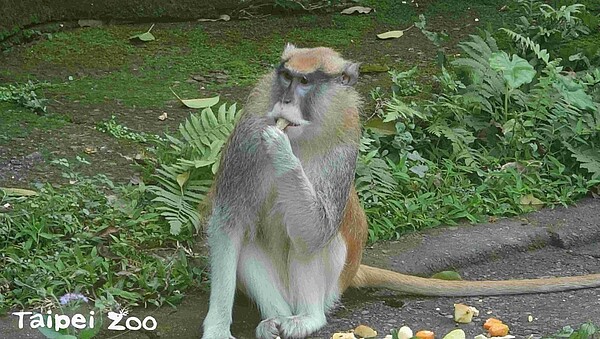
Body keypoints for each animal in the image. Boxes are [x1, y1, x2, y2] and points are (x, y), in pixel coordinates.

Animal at [203, 44, 600, 339]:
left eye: (304, 81)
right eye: (285, 77)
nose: (284, 101)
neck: (304, 136)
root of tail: (353, 272)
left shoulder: (345, 148)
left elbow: (316, 233)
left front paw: (281, 151)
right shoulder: (245, 140)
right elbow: (229, 225)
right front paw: (218, 328)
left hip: (334, 281)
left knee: (322, 241)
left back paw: (308, 319)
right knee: (249, 241)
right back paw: (275, 319)